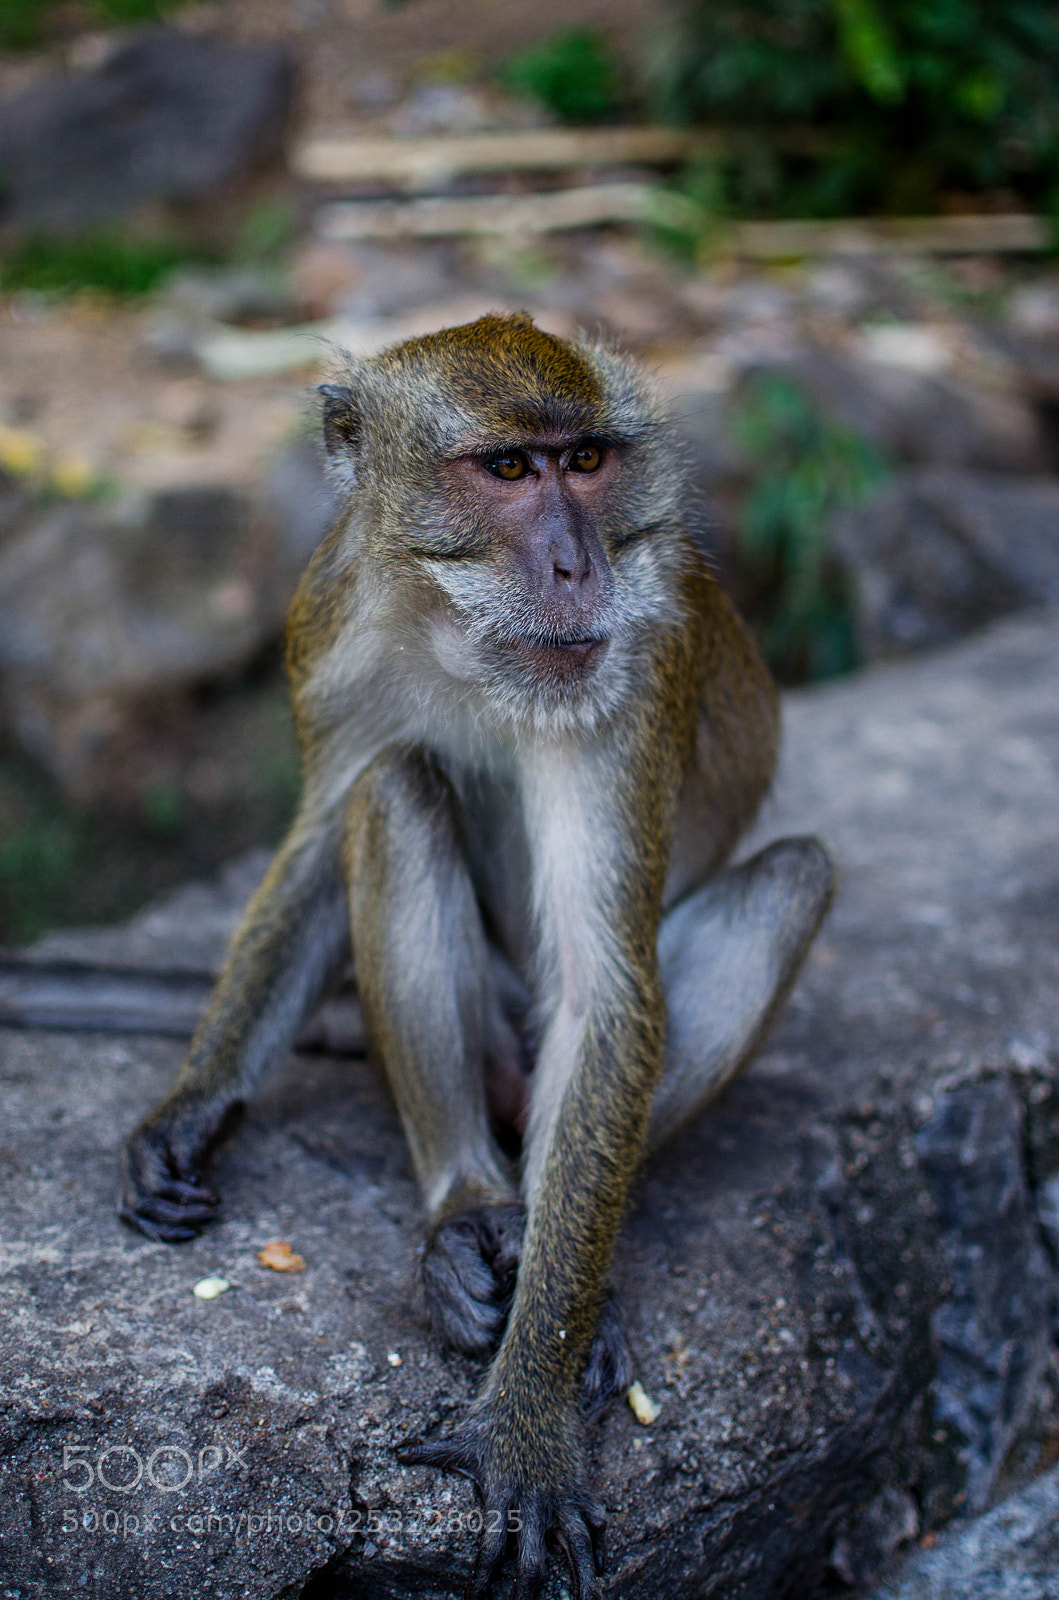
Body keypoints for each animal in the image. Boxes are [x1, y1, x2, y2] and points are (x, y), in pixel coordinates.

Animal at [119, 313, 835, 1598]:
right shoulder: (333, 620)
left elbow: (610, 995)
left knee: (788, 885)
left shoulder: (634, 671)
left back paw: (563, 1269)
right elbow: (322, 836)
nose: (576, 567)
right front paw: (193, 1102)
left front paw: (530, 1419)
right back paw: (464, 1212)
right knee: (396, 791)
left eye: (586, 462)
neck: (464, 636)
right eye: (508, 470)